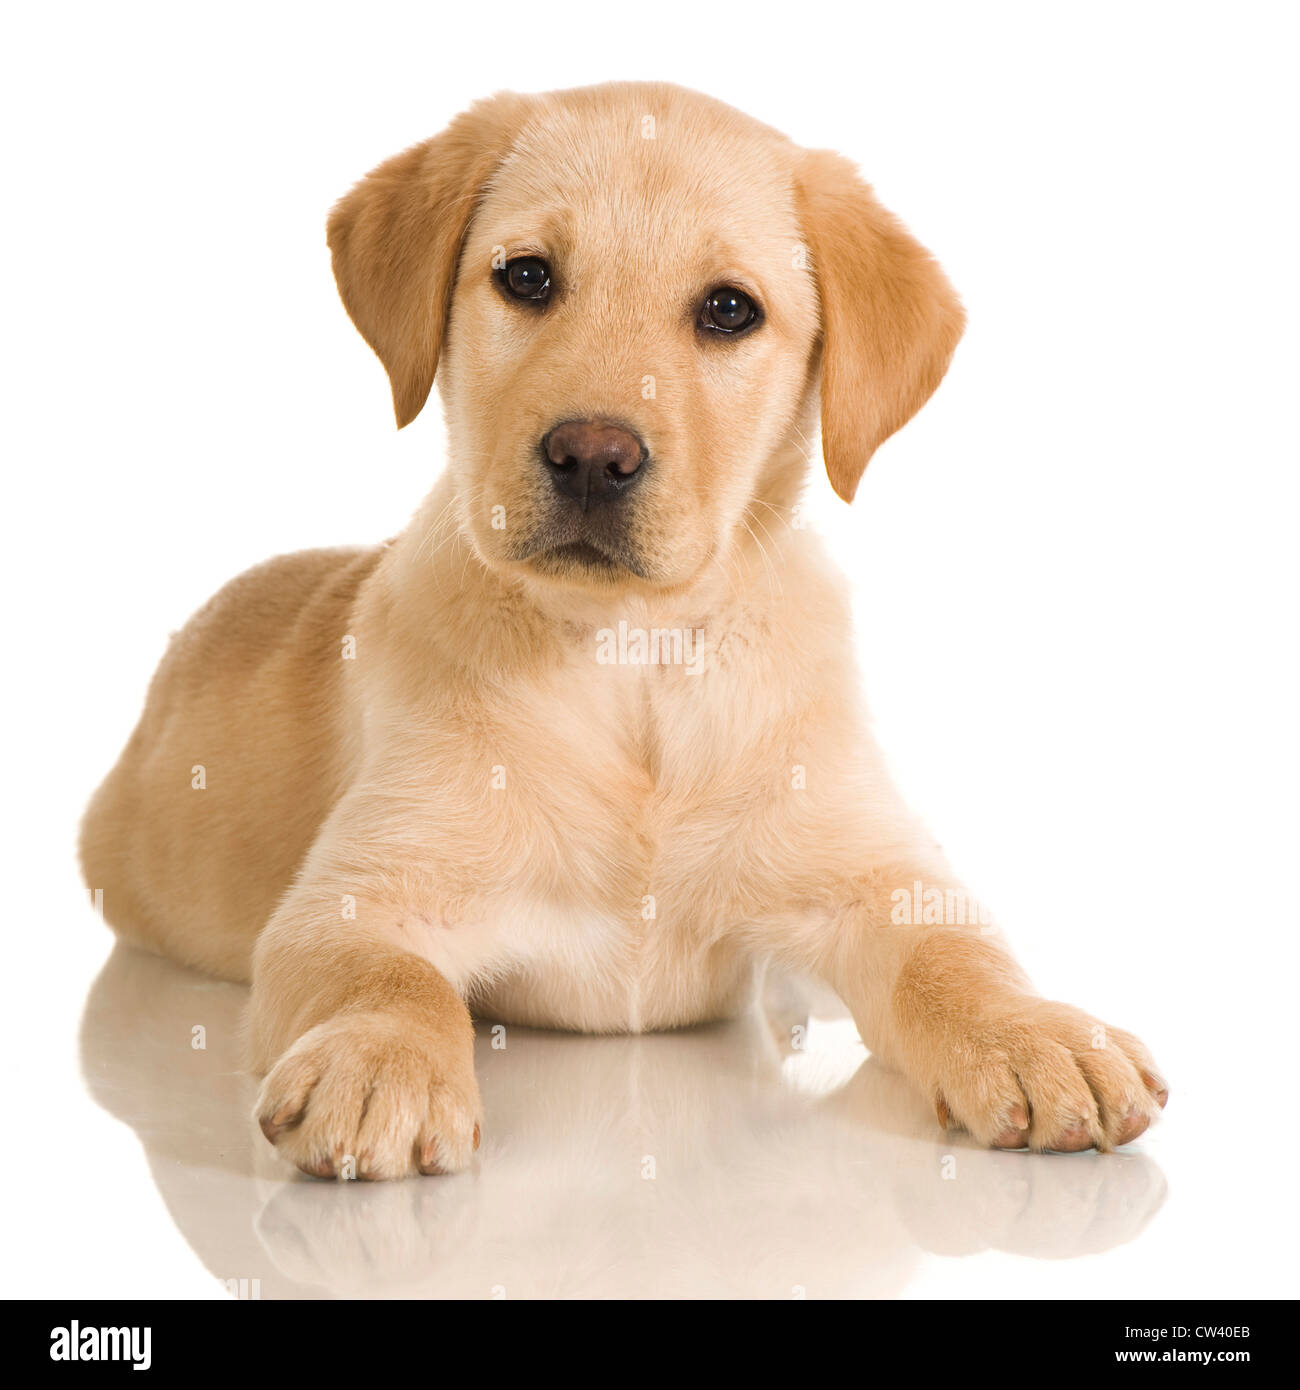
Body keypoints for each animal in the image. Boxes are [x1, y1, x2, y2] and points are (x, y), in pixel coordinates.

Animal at [78, 81, 1167, 1178]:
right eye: (526, 277)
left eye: (728, 309)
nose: (592, 456)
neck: (632, 659)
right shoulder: (355, 894)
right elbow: (384, 975)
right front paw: (377, 1059)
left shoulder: (873, 871)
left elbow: (955, 949)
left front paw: (1035, 1031)